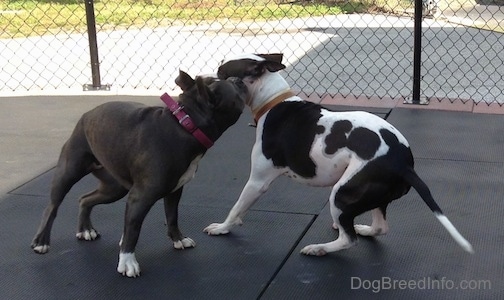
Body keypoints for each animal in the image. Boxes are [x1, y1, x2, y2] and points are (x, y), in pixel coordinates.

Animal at [30, 71, 247, 276]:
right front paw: (127, 261)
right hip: (69, 171)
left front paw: (178, 239)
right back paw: (42, 241)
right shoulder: (140, 197)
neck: (186, 125)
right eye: (234, 87)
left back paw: (86, 229)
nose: (238, 78)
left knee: (85, 199)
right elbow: (133, 228)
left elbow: (172, 215)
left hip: (114, 188)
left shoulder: (174, 191)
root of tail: (87, 114)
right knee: (52, 206)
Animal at [204, 53, 472, 255]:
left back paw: (319, 248)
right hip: (375, 197)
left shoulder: (257, 181)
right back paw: (363, 229)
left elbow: (237, 206)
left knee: (348, 239)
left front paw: (223, 227)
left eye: (221, 71)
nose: (205, 78)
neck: (273, 101)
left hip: (341, 193)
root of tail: (402, 163)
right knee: (379, 227)